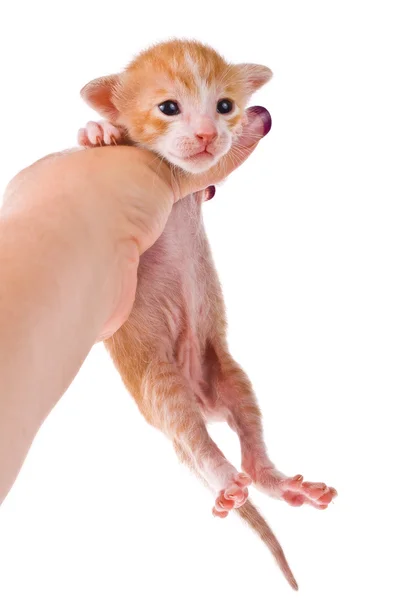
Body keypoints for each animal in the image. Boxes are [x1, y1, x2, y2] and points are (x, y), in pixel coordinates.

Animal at [79, 39, 336, 588]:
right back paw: (225, 483)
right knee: (198, 443)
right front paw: (97, 132)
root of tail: (202, 400)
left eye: (225, 105)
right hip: (161, 387)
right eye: (168, 107)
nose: (207, 134)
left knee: (248, 445)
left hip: (231, 376)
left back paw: (283, 485)